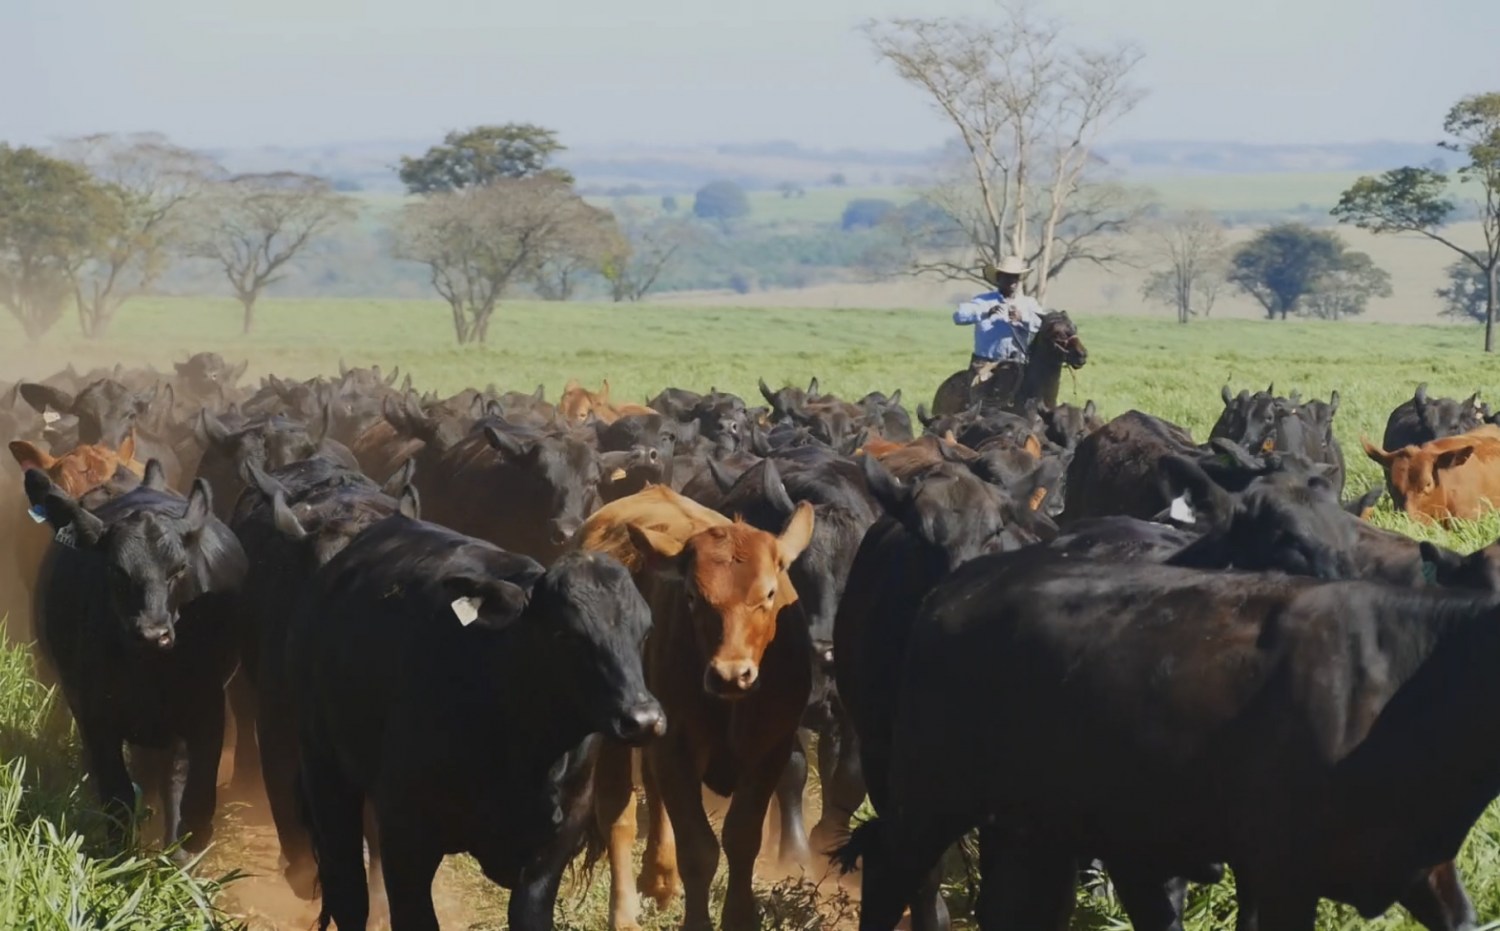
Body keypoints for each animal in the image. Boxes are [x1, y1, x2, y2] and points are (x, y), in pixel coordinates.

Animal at [24, 467, 246, 851]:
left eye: (179, 569)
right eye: (116, 570)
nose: (153, 633)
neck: (148, 674)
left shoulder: (206, 710)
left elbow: (195, 803)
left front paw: (182, 859)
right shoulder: (95, 715)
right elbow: (119, 796)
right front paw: (121, 858)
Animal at [291, 515, 663, 929]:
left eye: (644, 632)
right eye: (565, 633)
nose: (643, 719)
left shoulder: (556, 842)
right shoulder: (405, 835)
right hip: (324, 770)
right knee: (348, 892)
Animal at [576, 485, 816, 929]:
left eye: (769, 593)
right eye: (692, 596)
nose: (730, 674)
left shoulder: (769, 750)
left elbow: (742, 837)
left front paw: (740, 917)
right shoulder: (677, 748)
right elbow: (699, 848)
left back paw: (659, 878)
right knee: (617, 813)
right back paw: (625, 911)